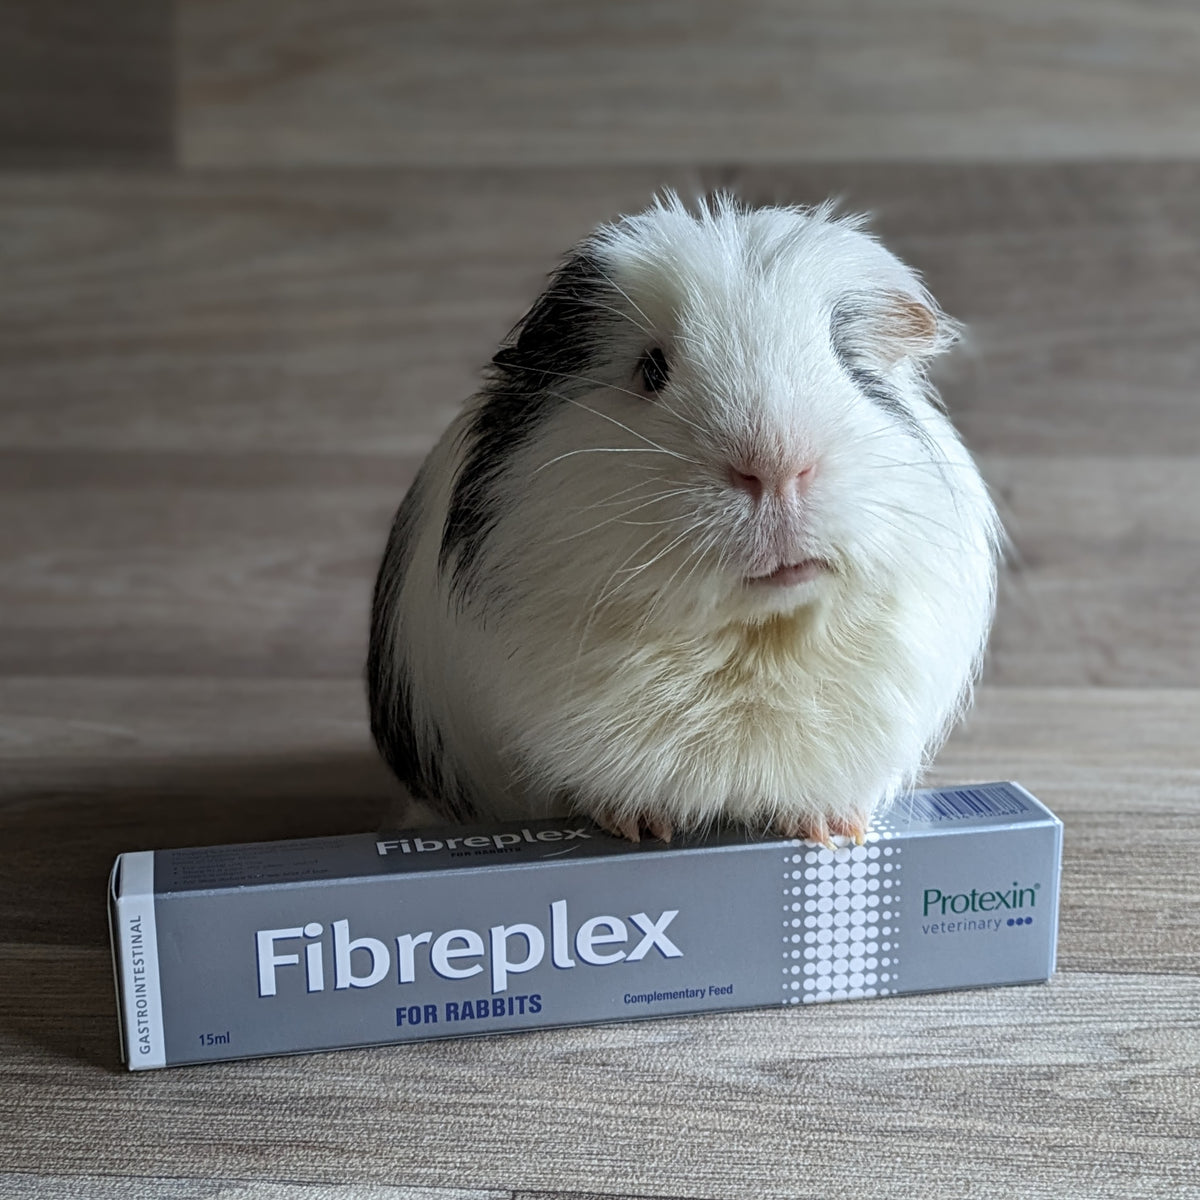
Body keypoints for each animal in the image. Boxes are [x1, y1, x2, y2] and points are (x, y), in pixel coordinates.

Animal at [367, 193, 1002, 846]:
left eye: (844, 365)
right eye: (652, 369)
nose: (775, 465)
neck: (755, 642)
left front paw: (830, 828)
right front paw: (643, 825)